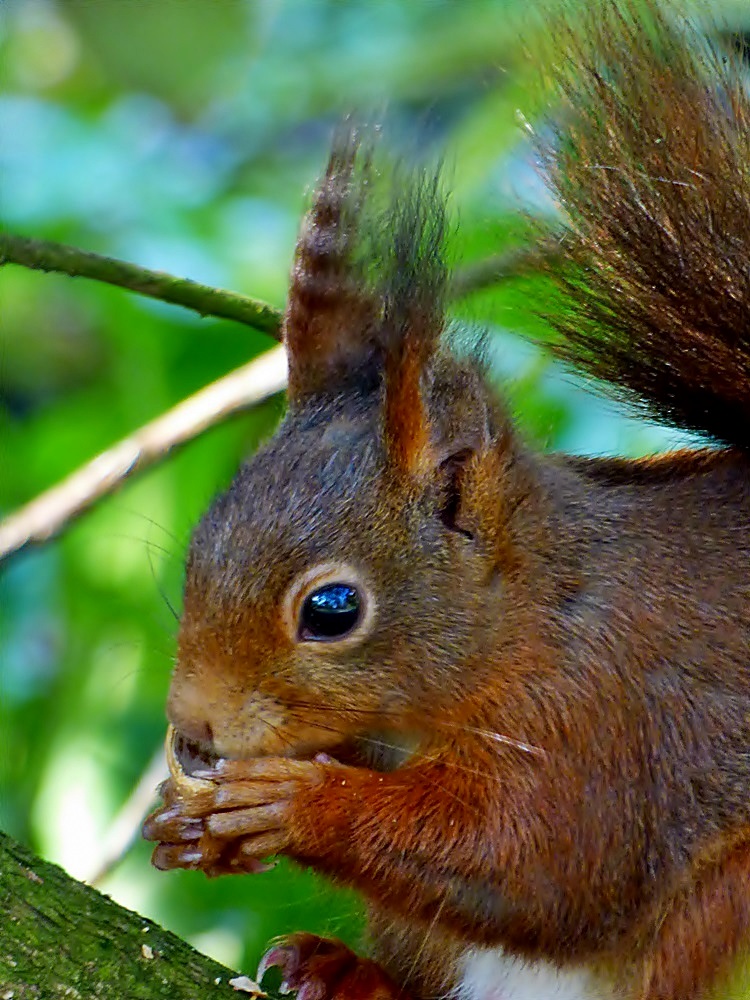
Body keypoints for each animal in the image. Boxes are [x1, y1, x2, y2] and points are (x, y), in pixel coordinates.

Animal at [142, 3, 750, 996]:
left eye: (332, 610)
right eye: (202, 543)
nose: (193, 728)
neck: (529, 614)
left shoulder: (602, 721)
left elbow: (539, 862)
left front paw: (300, 803)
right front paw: (192, 819)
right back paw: (346, 974)